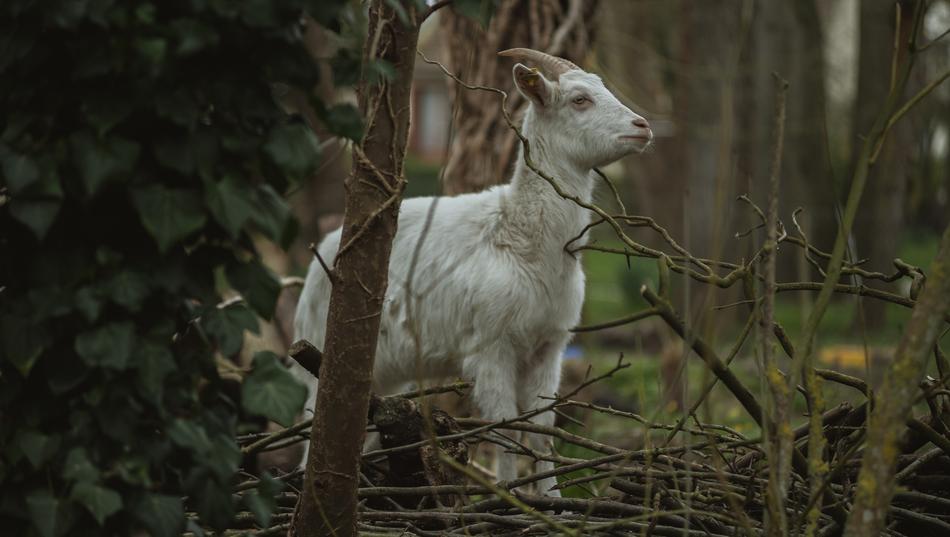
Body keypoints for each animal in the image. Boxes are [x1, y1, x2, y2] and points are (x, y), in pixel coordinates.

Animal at [292, 48, 652, 496]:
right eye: (580, 100)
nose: (643, 127)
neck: (521, 242)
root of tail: (323, 251)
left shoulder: (548, 346)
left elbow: (541, 430)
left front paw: (554, 500)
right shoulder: (490, 347)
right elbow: (505, 430)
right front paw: (507, 493)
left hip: (386, 373)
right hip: (319, 357)